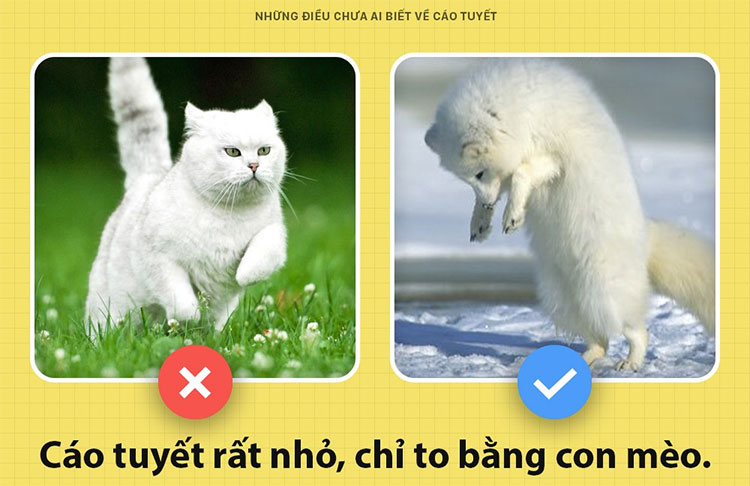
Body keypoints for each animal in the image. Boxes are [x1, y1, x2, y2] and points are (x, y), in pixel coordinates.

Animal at [424, 59, 715, 371]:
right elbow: (508, 180)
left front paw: (512, 216)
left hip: (601, 287)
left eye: (479, 173)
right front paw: (480, 223)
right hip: (561, 296)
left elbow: (523, 172)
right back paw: (583, 359)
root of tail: (646, 240)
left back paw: (630, 362)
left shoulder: (554, 153)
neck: (517, 110)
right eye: (466, 179)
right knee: (600, 339)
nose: (489, 202)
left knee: (635, 328)